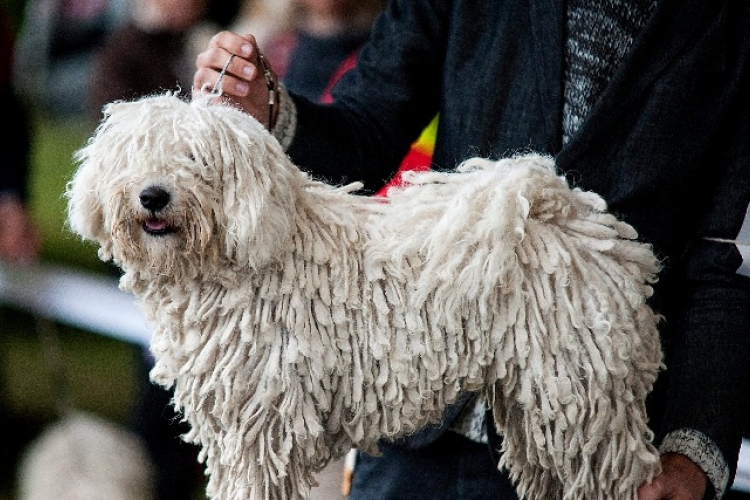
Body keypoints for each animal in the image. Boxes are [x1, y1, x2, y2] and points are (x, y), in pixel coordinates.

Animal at [64, 94, 664, 500]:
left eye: (195, 160)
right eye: (136, 157)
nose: (152, 195)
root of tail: (571, 217)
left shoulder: (262, 424)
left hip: (582, 395)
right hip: (544, 408)